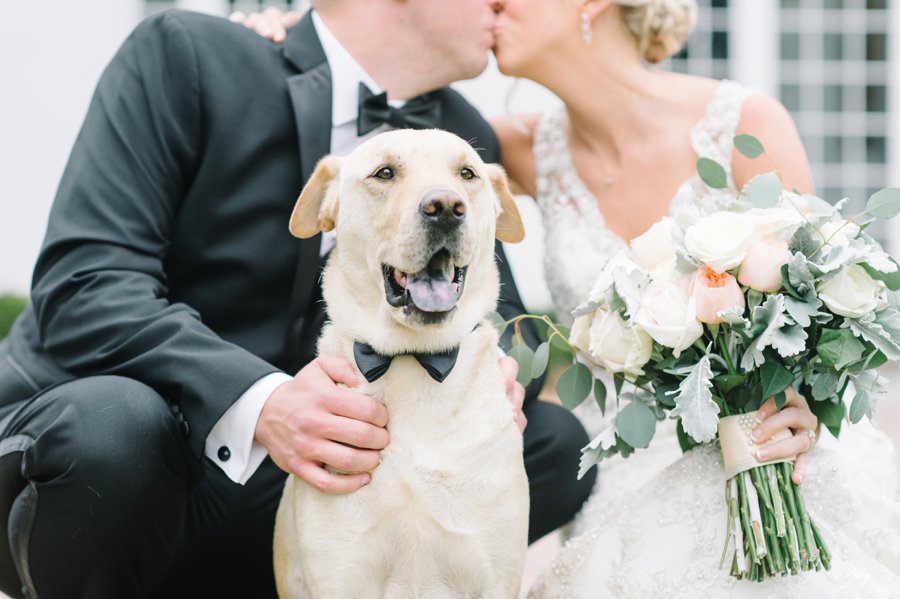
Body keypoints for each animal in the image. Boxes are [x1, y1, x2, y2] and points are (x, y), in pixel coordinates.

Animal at [270, 129, 532, 596]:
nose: (445, 207)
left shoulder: (494, 575)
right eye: (385, 173)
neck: (413, 360)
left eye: (467, 174)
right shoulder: (341, 573)